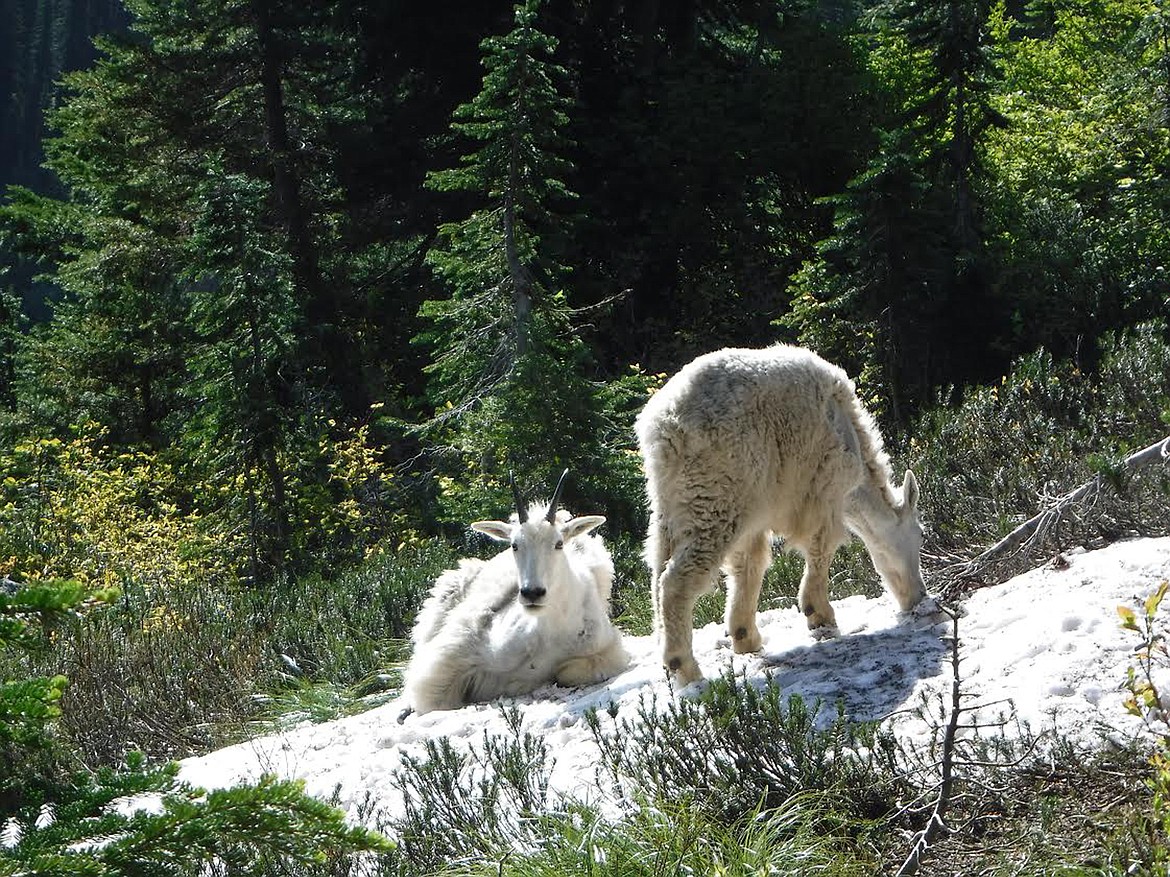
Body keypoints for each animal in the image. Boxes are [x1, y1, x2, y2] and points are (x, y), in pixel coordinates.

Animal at [395, 474, 631, 720]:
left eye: (558, 543)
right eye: (514, 545)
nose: (532, 593)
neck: (551, 632)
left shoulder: (608, 649)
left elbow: (568, 671)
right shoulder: (457, 651)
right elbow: (432, 697)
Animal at [636, 346, 926, 687]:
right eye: (920, 536)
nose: (919, 596)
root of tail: (664, 425)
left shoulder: (758, 511)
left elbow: (749, 564)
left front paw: (745, 636)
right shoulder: (824, 483)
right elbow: (821, 547)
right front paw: (819, 614)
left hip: (671, 499)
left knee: (658, 567)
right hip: (717, 488)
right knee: (676, 578)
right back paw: (685, 666)